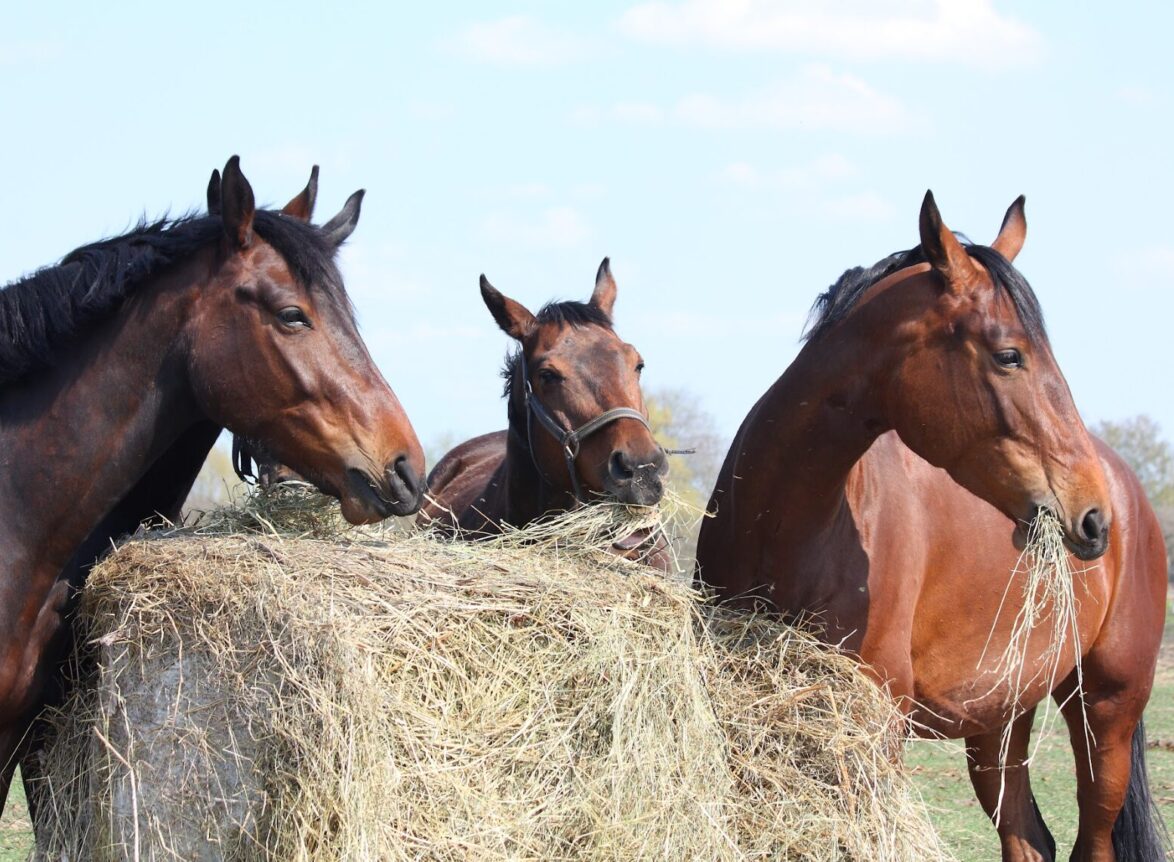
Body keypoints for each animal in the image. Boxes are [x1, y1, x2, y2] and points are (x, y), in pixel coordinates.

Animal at [694, 192, 1168, 862]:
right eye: (1009, 354)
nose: (1092, 515)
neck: (787, 529)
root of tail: (1131, 492)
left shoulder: (877, 731)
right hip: (1000, 719)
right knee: (1028, 839)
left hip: (1106, 711)